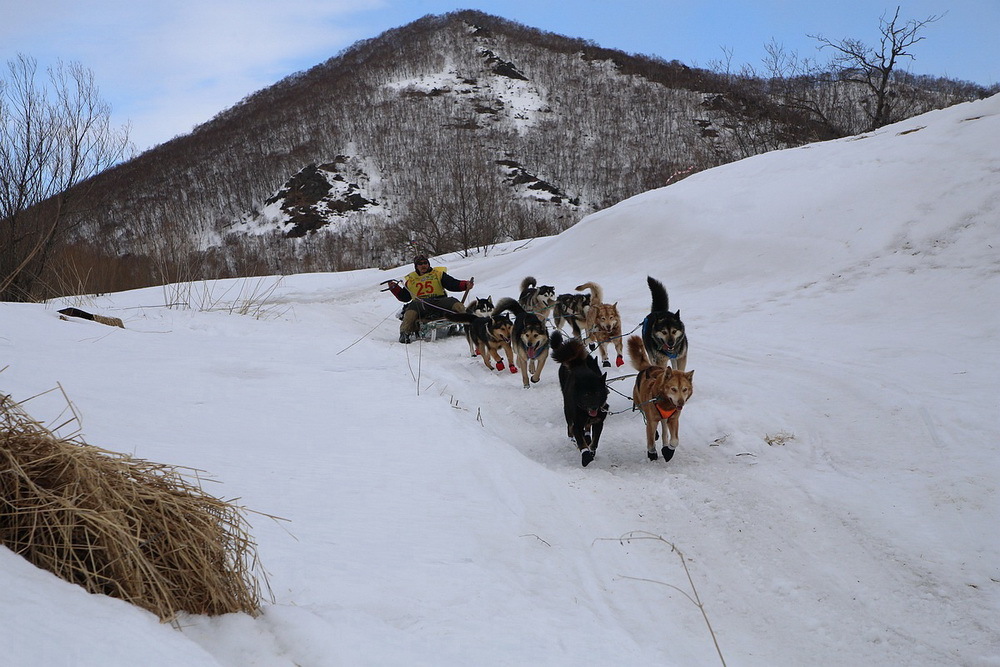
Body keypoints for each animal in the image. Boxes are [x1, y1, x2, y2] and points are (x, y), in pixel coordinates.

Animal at [552, 330, 604, 468]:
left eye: (598, 393)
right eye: (586, 394)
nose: (594, 407)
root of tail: (577, 362)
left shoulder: (599, 422)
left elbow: (595, 441)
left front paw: (591, 450)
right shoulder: (577, 423)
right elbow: (581, 442)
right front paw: (586, 456)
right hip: (567, 410)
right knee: (570, 426)